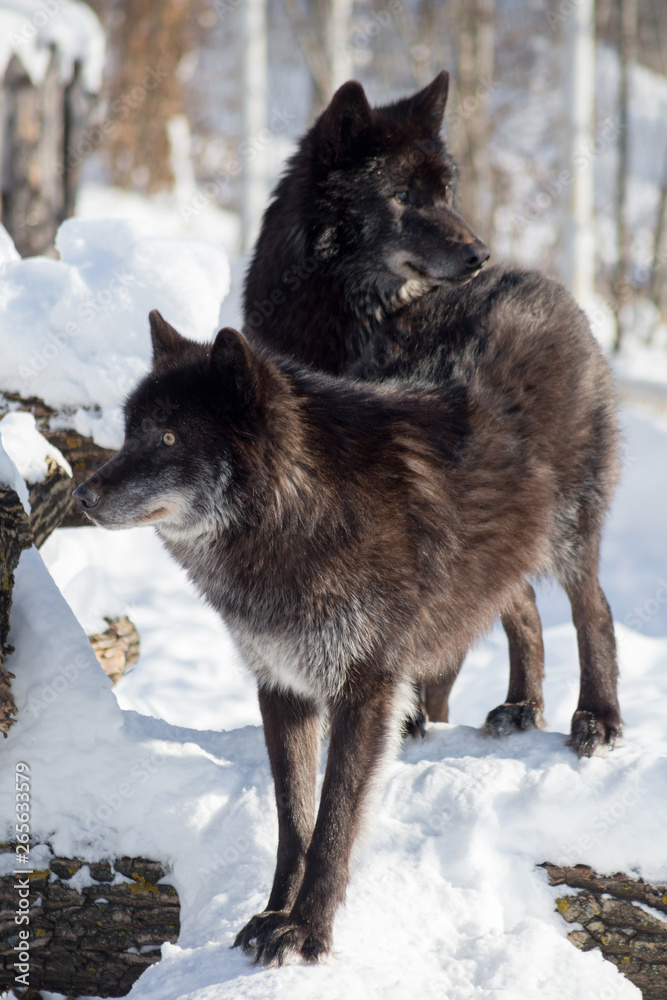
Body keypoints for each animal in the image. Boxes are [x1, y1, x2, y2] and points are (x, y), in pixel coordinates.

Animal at [74, 305, 620, 965]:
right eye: (130, 433)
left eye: (169, 439)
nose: (81, 494)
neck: (295, 517)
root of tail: (538, 289)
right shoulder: (282, 687)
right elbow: (294, 822)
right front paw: (272, 915)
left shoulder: (365, 690)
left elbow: (333, 822)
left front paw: (307, 931)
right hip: (499, 554)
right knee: (525, 604)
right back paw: (522, 705)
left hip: (568, 535)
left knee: (593, 610)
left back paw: (597, 718)